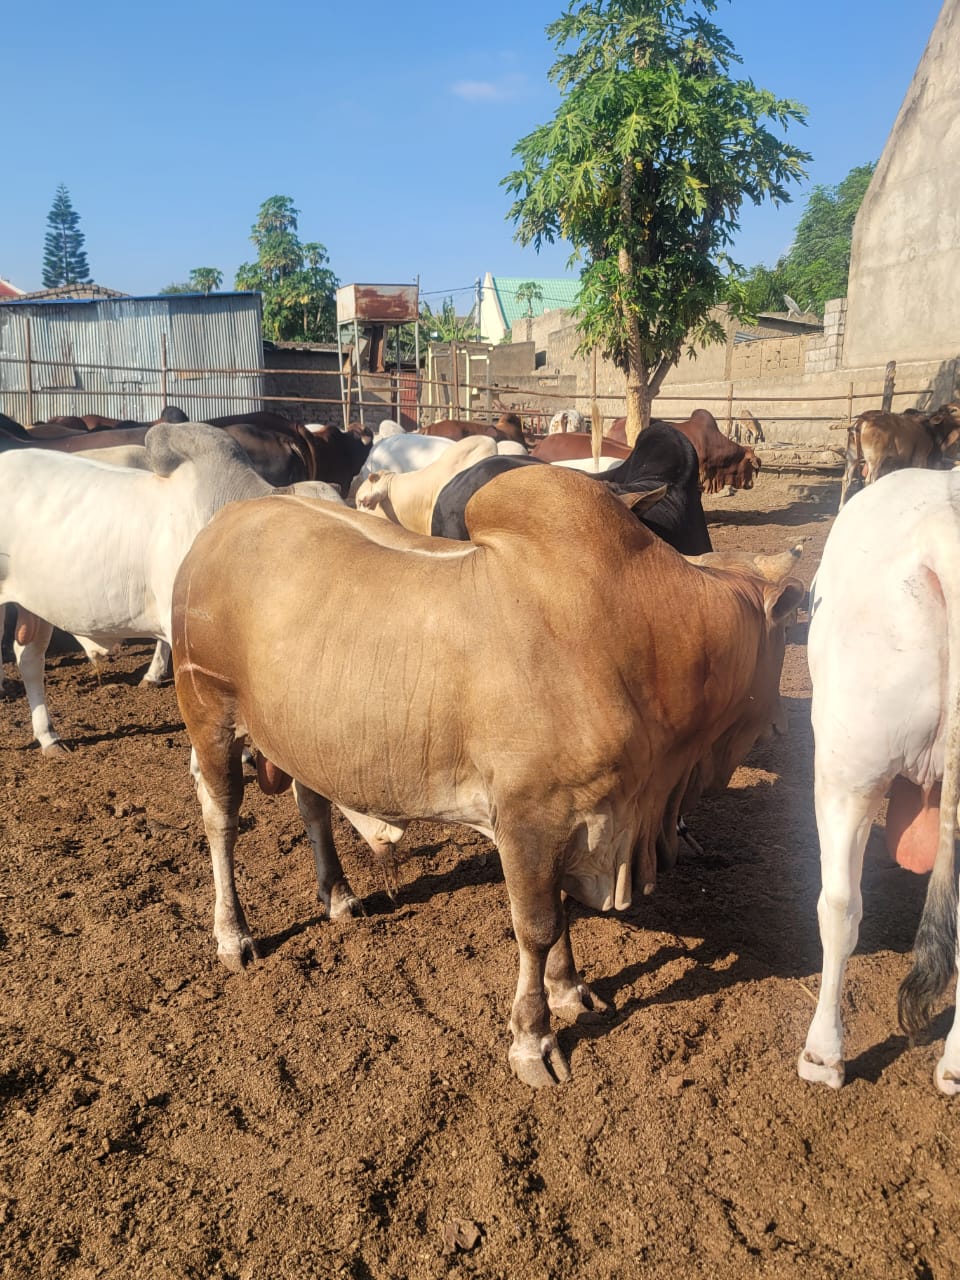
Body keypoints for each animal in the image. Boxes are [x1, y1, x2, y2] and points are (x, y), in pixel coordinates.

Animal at [171, 464, 803, 1086]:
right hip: (209, 714)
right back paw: (234, 934)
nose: (780, 725)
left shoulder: (575, 818)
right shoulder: (530, 815)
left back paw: (340, 895)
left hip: (305, 733)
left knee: (313, 804)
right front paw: (533, 1039)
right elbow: (538, 926)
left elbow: (561, 912)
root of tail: (221, 526)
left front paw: (569, 989)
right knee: (221, 821)